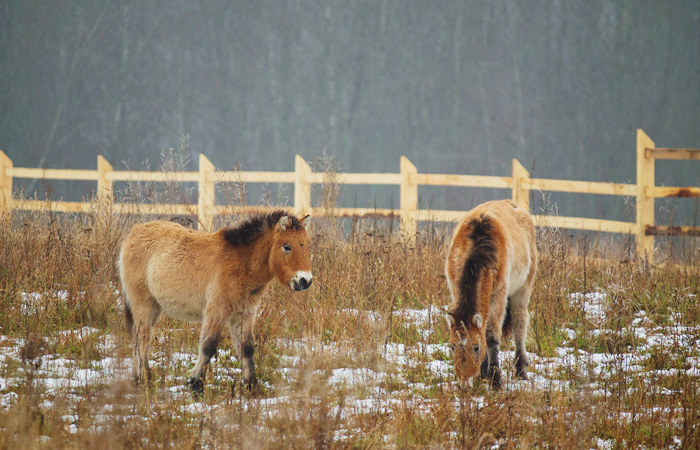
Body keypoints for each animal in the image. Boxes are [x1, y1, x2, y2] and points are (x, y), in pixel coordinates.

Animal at [118, 211, 312, 394]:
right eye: (287, 246)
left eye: (307, 245)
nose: (305, 281)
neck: (243, 262)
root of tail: (133, 233)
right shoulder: (217, 312)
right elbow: (208, 347)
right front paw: (196, 385)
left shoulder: (244, 314)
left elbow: (247, 348)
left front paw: (252, 387)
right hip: (143, 303)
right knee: (142, 337)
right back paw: (144, 379)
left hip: (155, 307)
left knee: (138, 337)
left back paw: (139, 378)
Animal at [446, 199, 540, 388]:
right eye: (452, 347)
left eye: (476, 347)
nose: (464, 383)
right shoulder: (454, 289)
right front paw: (484, 374)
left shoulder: (498, 297)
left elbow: (491, 336)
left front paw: (495, 379)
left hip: (522, 290)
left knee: (519, 323)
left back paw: (521, 371)